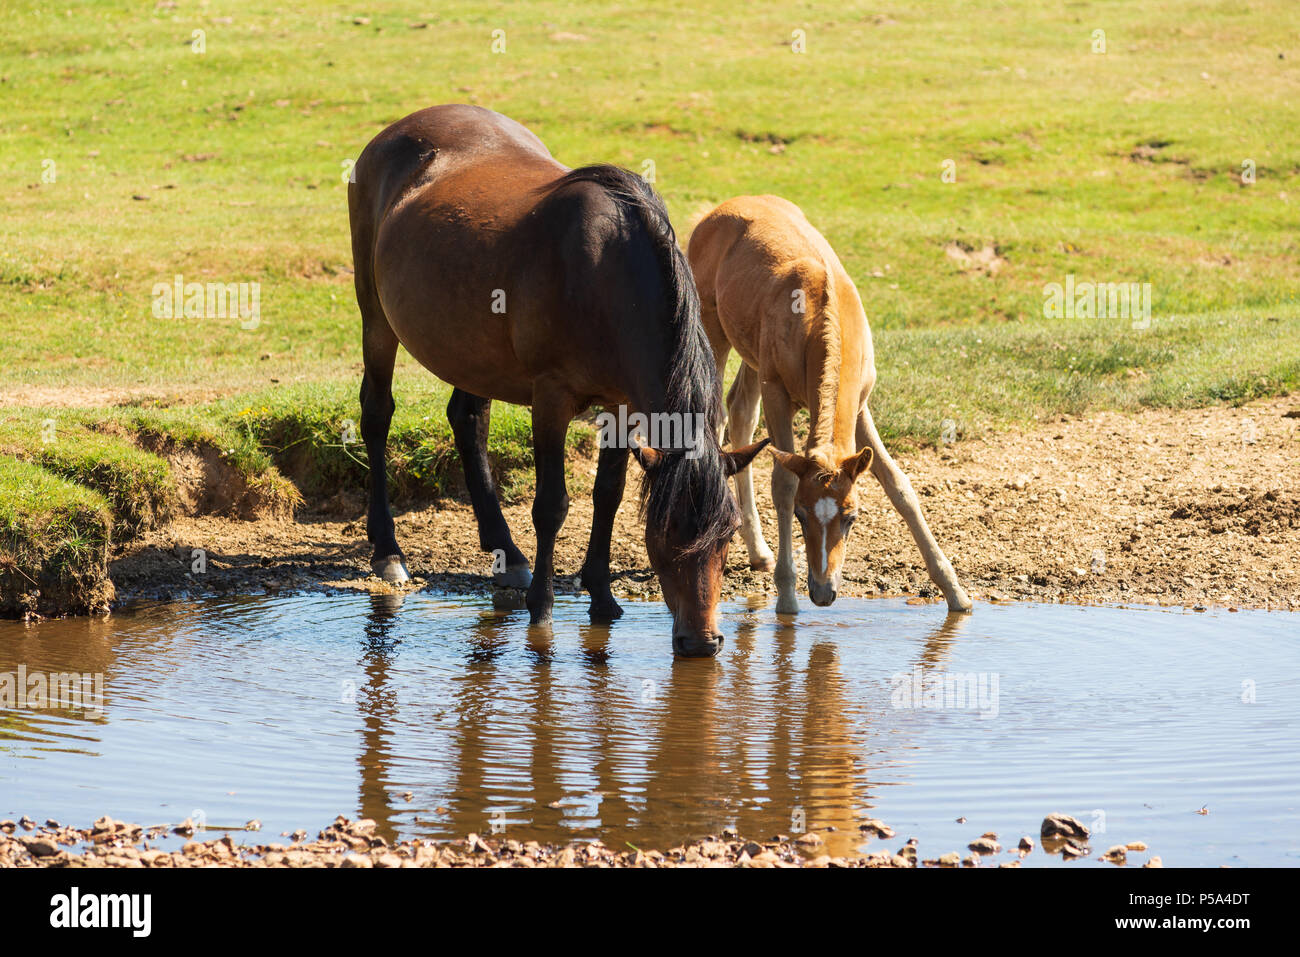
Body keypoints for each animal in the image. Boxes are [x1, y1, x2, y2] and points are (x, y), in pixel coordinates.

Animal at [351, 104, 764, 657]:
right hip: (375, 316)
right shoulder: (550, 399)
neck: (606, 275)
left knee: (468, 421)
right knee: (376, 415)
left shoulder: (620, 404)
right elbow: (552, 505)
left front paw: (602, 596)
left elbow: (607, 493)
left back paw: (506, 553)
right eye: (665, 534)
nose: (701, 644)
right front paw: (543, 610)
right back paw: (388, 550)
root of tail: (396, 131)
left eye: (728, 535)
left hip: (472, 349)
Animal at [691, 195, 977, 613]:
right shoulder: (777, 393)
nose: (824, 592)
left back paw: (759, 551)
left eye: (851, 516)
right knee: (718, 417)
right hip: (713, 331)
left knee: (741, 412)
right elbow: (783, 483)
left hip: (752, 355)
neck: (818, 315)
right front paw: (787, 596)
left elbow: (898, 484)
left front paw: (955, 591)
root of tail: (716, 211)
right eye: (800, 515)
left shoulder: (859, 405)